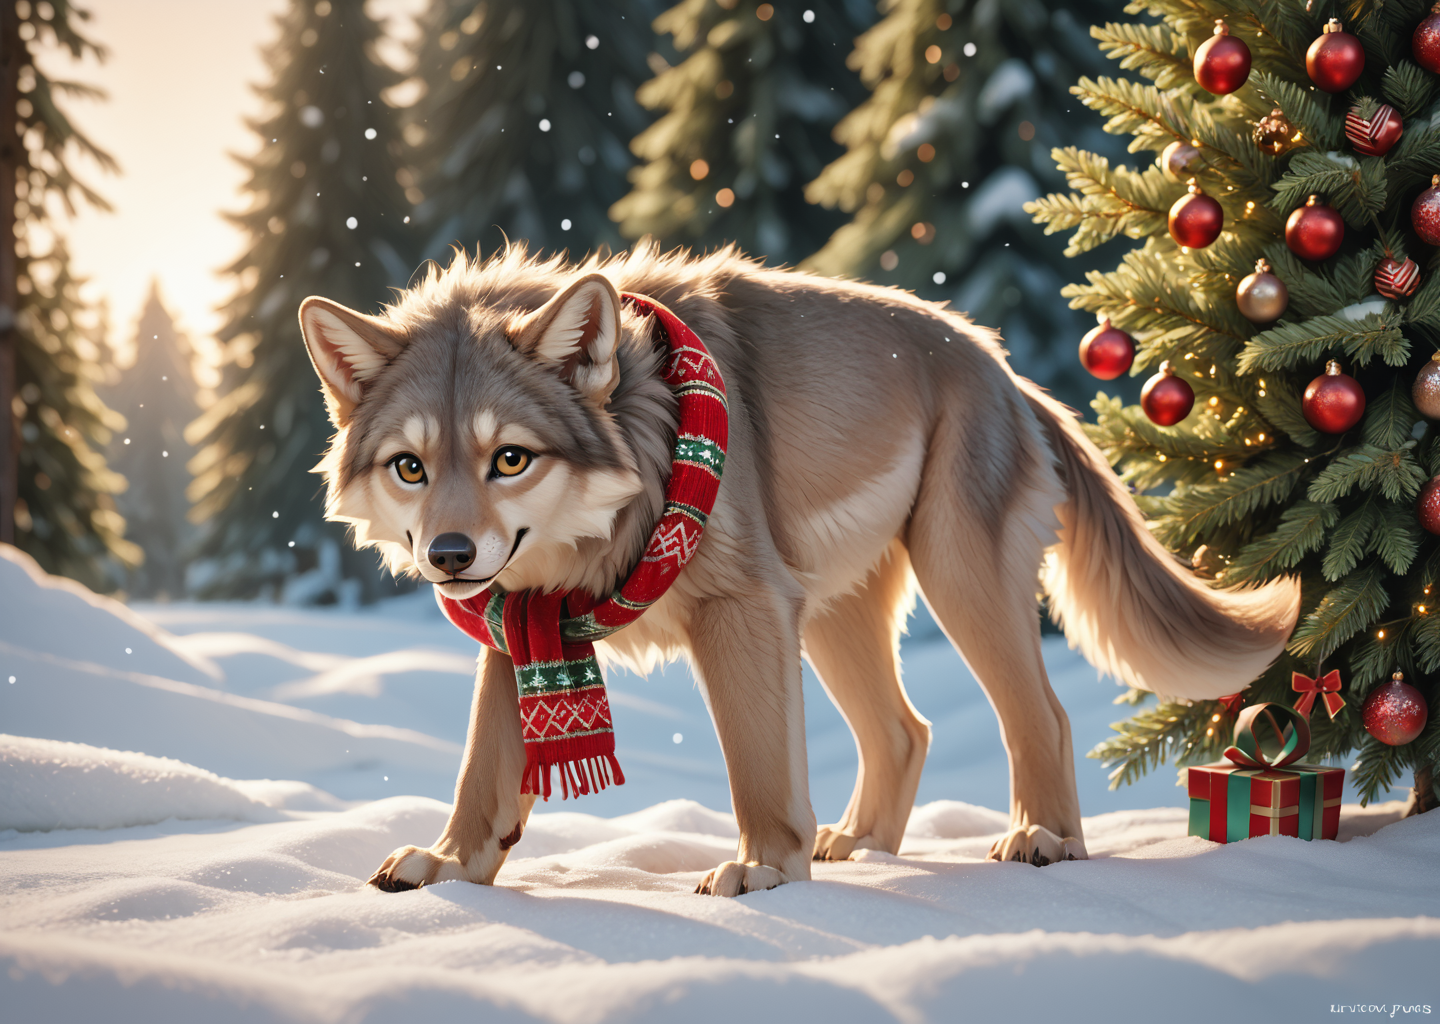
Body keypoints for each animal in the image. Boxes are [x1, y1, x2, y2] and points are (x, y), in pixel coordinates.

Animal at [297, 244, 1300, 896]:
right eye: (411, 467)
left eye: (509, 458)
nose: (449, 556)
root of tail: (1005, 368)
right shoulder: (523, 623)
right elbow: (483, 770)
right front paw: (447, 867)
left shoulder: (740, 608)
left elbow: (756, 764)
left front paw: (763, 868)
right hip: (829, 615)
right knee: (904, 730)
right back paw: (858, 845)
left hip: (953, 579)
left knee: (1040, 718)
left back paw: (1042, 839)